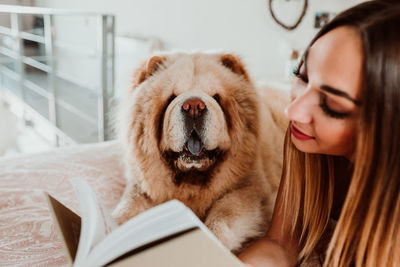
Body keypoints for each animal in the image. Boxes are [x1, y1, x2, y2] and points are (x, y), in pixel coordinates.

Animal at [112, 51, 288, 253]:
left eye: (216, 97)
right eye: (171, 97)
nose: (194, 106)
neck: (192, 180)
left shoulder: (249, 189)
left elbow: (225, 213)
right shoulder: (142, 188)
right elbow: (128, 210)